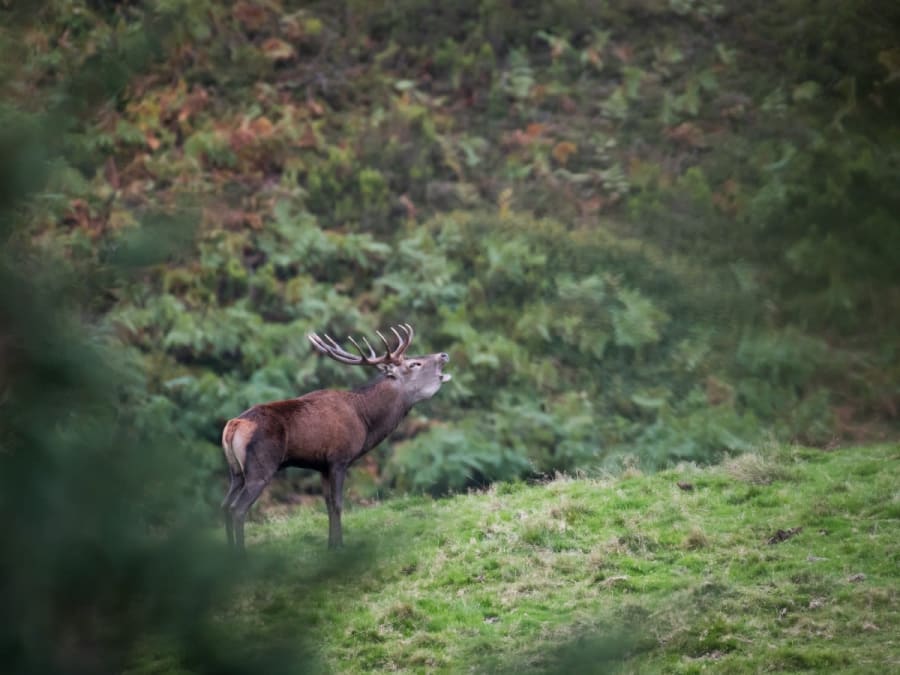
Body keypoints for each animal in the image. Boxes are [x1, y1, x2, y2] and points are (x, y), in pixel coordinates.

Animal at [220, 324, 450, 550]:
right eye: (414, 363)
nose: (443, 355)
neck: (365, 421)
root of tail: (233, 425)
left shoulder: (322, 465)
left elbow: (329, 505)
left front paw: (331, 545)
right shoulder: (340, 458)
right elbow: (339, 504)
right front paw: (340, 546)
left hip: (236, 471)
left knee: (225, 505)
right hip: (261, 467)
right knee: (238, 508)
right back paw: (241, 552)